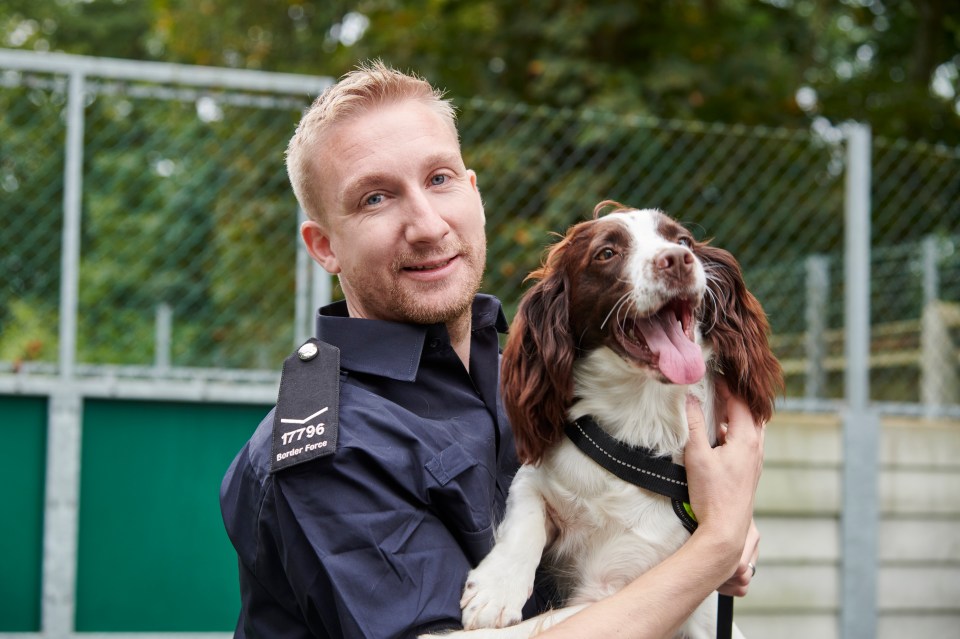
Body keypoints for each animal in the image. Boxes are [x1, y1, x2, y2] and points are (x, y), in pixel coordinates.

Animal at [426, 201, 780, 639]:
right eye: (606, 253)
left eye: (683, 240)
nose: (678, 260)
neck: (640, 418)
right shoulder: (542, 477)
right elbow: (526, 512)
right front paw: (497, 588)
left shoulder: (613, 589)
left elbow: (535, 626)